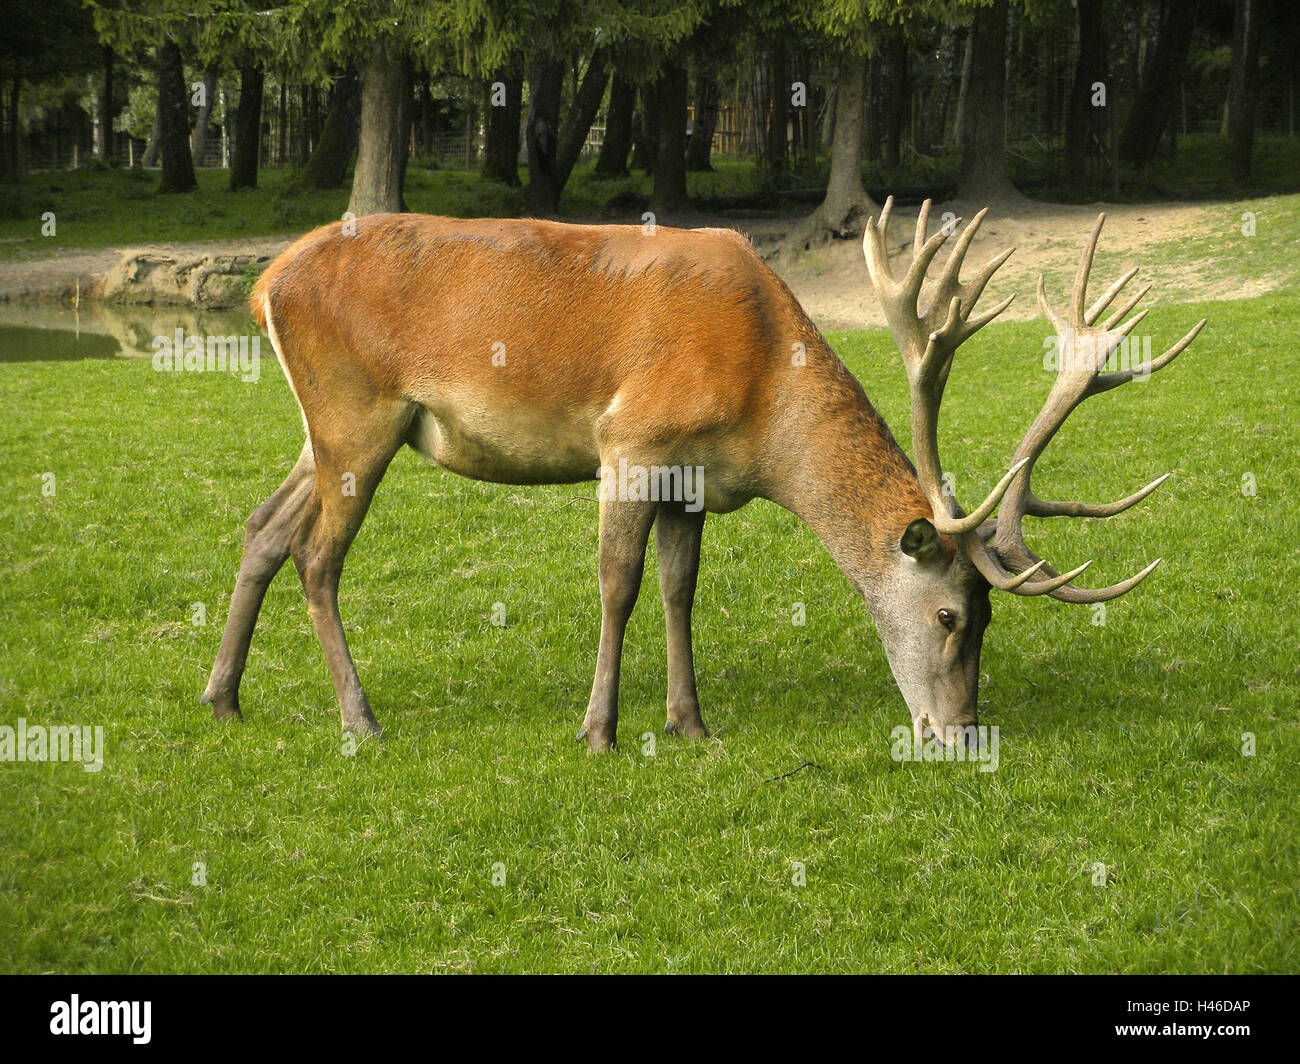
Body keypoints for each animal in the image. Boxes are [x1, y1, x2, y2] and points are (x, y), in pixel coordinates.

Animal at [197, 199, 1201, 744]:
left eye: (988, 618)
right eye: (952, 615)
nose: (958, 731)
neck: (761, 405)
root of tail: (265, 284)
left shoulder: (694, 479)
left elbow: (681, 588)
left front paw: (690, 721)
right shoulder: (633, 440)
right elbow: (620, 584)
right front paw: (599, 730)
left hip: (329, 429)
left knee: (263, 527)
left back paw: (223, 698)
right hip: (357, 412)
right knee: (318, 557)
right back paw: (359, 718)